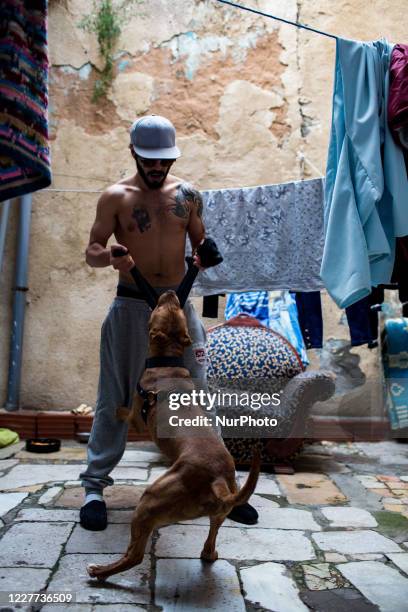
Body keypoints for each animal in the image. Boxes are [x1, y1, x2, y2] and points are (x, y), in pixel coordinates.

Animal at [87, 290, 260, 580]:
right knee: (210, 542)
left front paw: (114, 409)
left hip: (150, 501)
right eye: (174, 308)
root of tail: (218, 481)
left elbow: (123, 411)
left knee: (134, 555)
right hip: (218, 515)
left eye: (164, 307)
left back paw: (100, 571)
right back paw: (209, 554)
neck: (167, 361)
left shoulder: (137, 418)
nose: (170, 292)